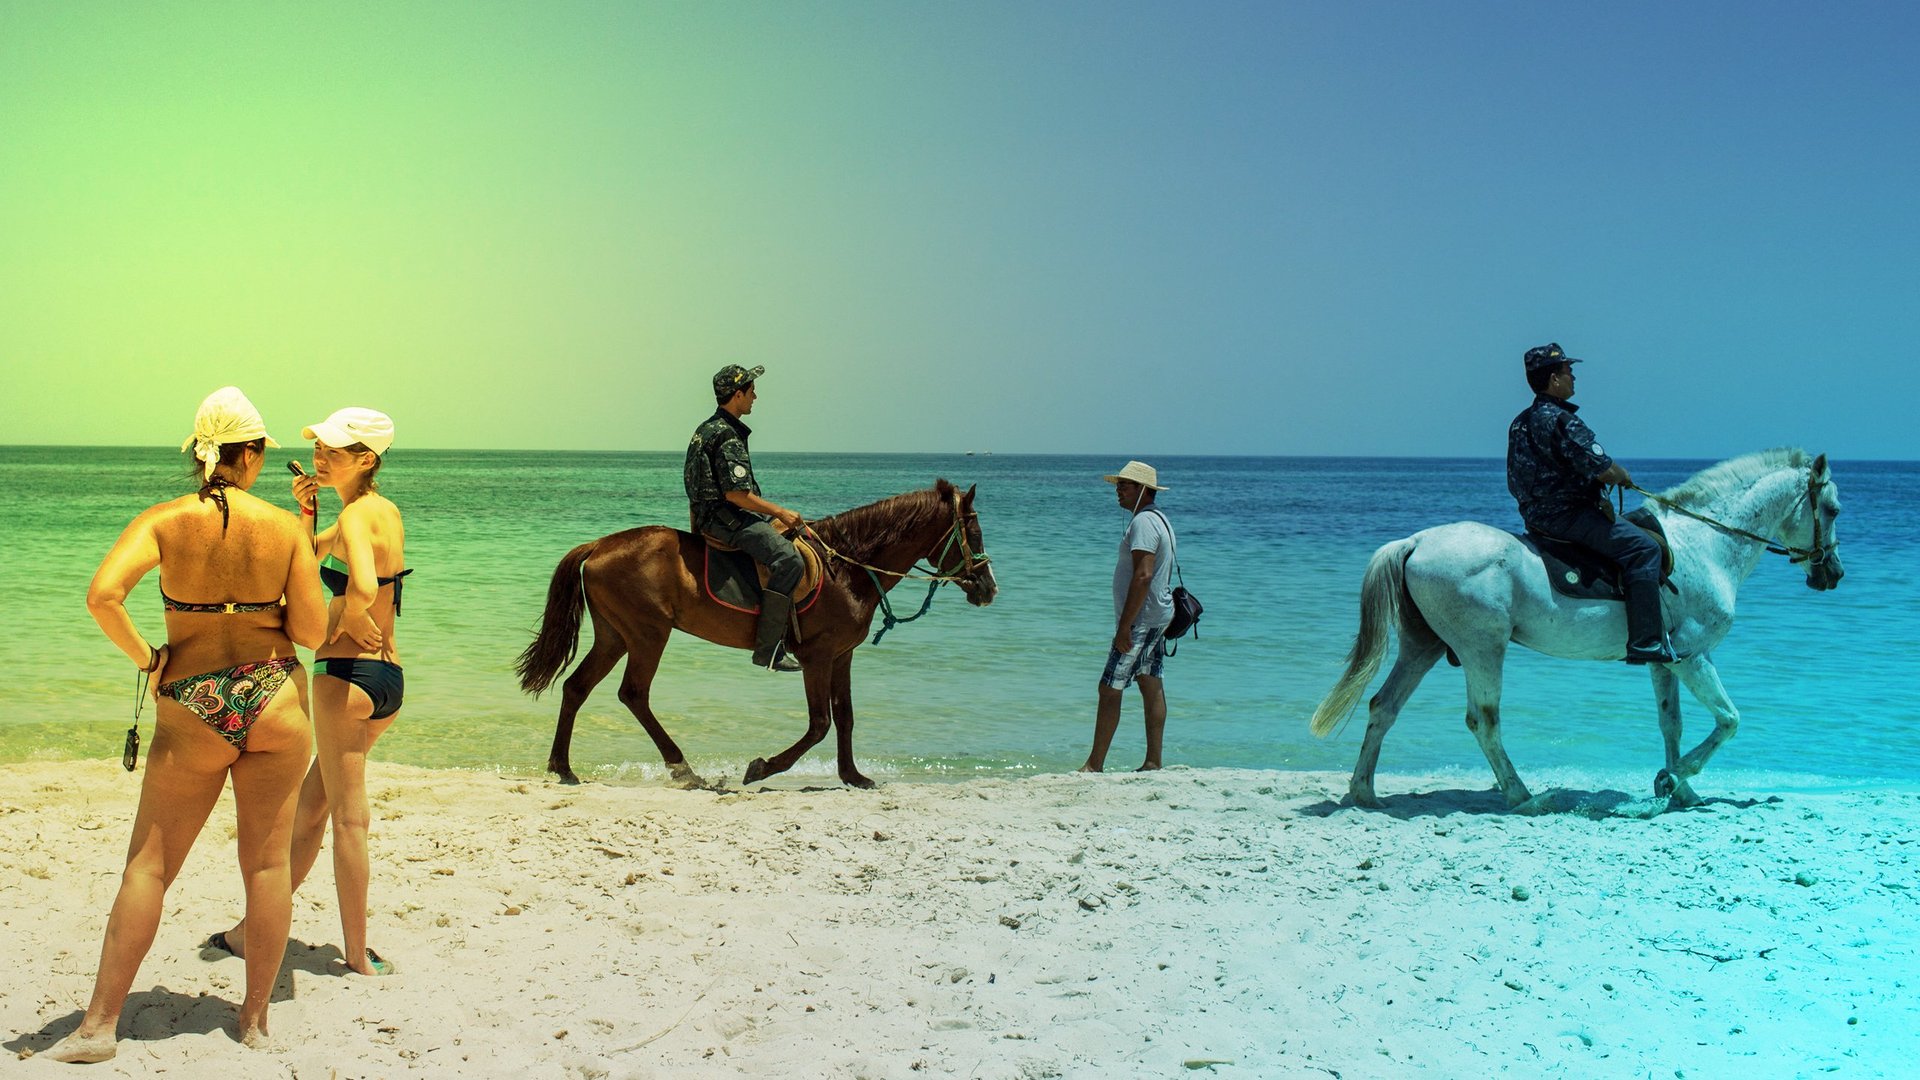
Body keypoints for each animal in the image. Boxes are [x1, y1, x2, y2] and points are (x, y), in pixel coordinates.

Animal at [518, 476, 998, 780]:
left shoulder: (842, 655)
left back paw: (563, 767)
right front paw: (763, 767)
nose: (989, 588)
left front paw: (853, 776)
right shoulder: (817, 657)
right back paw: (683, 769)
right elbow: (820, 723)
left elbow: (844, 717)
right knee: (633, 694)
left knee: (577, 688)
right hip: (647, 635)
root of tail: (599, 545)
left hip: (615, 635)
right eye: (973, 531)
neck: (847, 568)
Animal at [1313, 445, 1835, 807]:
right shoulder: (1693, 656)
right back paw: (1523, 797)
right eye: (1832, 509)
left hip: (1422, 646)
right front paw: (1673, 778)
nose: (1831, 574)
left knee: (1384, 707)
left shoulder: (1664, 662)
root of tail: (1416, 541)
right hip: (1483, 649)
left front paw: (1680, 791)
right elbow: (1729, 720)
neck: (1704, 543)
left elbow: (1672, 723)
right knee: (1483, 720)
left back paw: (1364, 793)